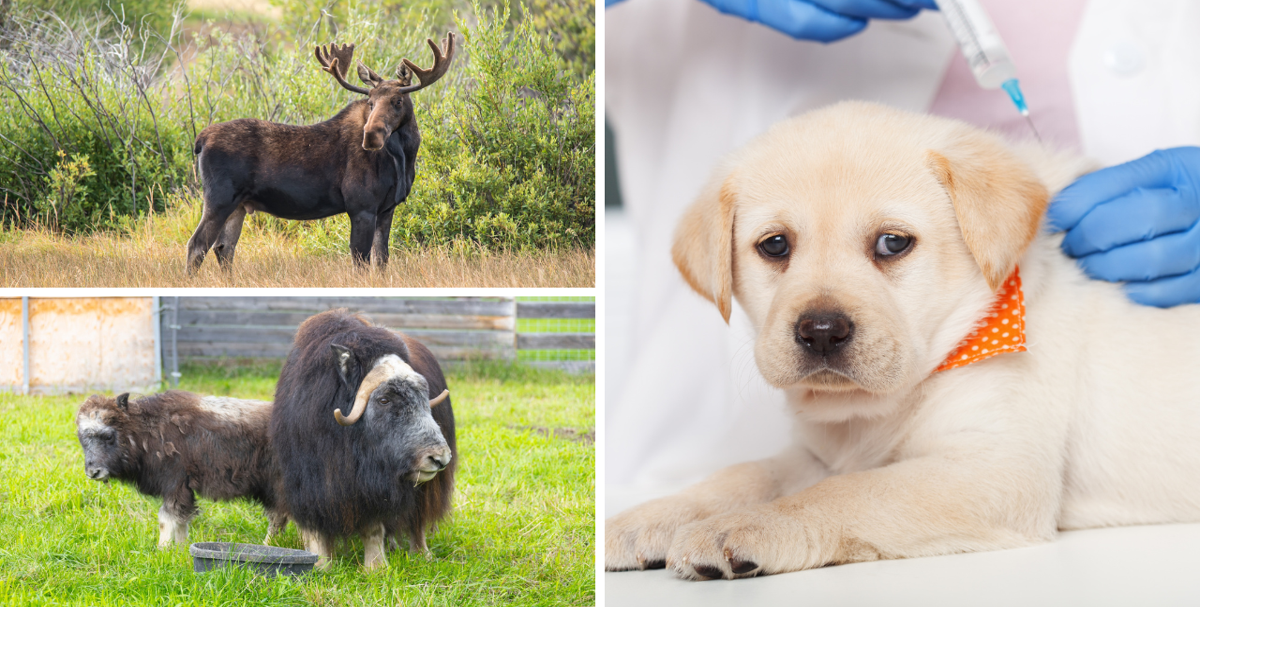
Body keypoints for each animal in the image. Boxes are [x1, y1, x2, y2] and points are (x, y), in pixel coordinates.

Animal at [186, 34, 457, 273]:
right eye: (370, 102)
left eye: (398, 101)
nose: (371, 136)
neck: (403, 159)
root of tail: (200, 140)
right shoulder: (361, 207)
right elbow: (361, 261)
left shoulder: (386, 209)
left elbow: (382, 261)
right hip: (219, 199)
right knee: (197, 245)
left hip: (238, 205)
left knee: (223, 248)